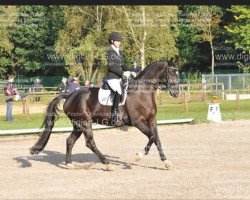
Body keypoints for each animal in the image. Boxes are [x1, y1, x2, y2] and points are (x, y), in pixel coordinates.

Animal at [30, 59, 180, 170]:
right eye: (172, 72)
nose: (176, 93)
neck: (142, 92)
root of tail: (69, 95)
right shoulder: (138, 122)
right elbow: (152, 137)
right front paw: (139, 155)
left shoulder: (152, 120)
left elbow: (157, 139)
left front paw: (166, 162)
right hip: (85, 122)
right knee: (90, 143)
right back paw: (107, 164)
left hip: (78, 125)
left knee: (70, 141)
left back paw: (69, 164)